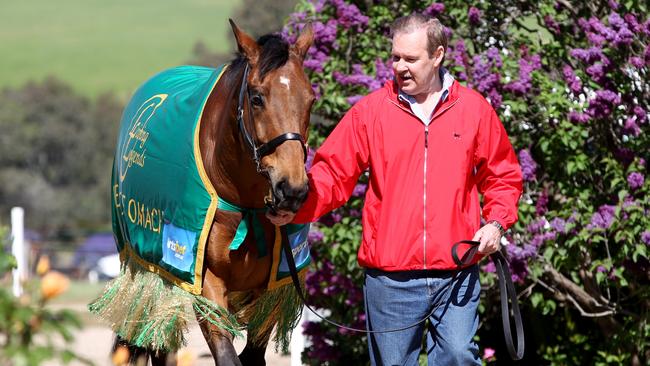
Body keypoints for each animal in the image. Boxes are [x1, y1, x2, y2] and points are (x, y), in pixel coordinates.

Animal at [92, 20, 314, 366]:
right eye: (256, 97)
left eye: (311, 99)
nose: (291, 189)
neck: (245, 204)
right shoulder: (206, 282)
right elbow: (226, 354)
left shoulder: (269, 292)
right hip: (151, 271)